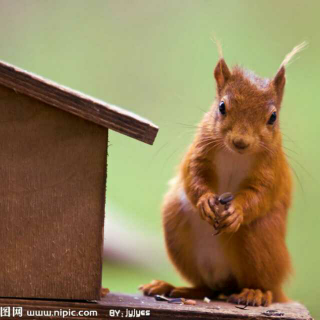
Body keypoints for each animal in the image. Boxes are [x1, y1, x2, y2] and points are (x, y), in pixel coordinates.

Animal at [139, 41, 306, 306]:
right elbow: (194, 175)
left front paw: (237, 210)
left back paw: (255, 293)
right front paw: (206, 201)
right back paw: (173, 288)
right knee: (207, 288)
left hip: (260, 237)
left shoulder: (271, 168)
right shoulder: (200, 149)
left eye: (273, 117)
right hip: (176, 224)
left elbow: (261, 193)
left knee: (264, 286)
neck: (235, 154)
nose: (240, 142)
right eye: (222, 107)